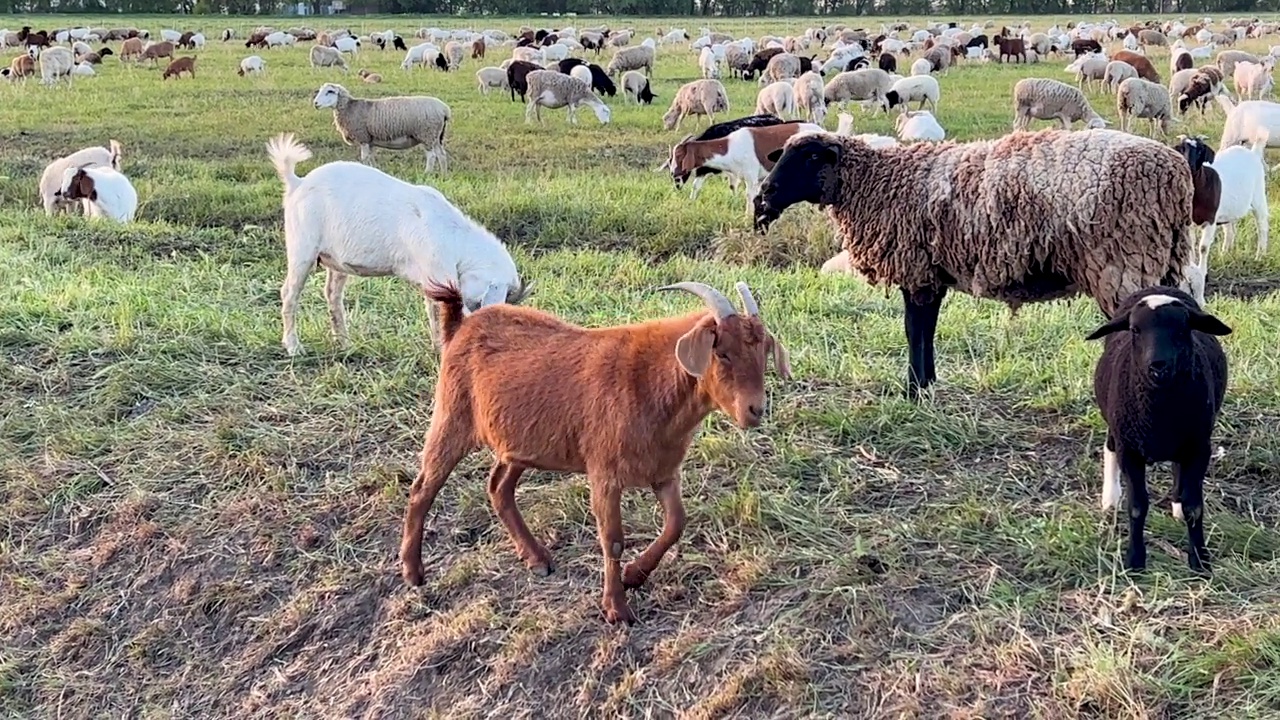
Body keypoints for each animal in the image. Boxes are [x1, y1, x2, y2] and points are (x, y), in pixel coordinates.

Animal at [267, 132, 527, 356]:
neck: (456, 239)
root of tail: (297, 183)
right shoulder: (437, 273)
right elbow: (439, 314)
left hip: (335, 260)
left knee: (332, 293)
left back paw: (344, 343)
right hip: (302, 247)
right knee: (289, 292)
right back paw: (294, 347)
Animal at [312, 82, 453, 170]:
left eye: (330, 91)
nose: (315, 103)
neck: (349, 108)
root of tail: (444, 109)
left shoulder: (363, 138)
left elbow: (364, 159)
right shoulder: (370, 141)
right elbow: (371, 158)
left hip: (426, 133)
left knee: (432, 156)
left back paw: (427, 173)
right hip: (436, 136)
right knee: (441, 155)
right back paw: (443, 175)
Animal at [404, 280, 788, 622]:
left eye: (763, 353)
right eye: (721, 353)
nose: (755, 410)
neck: (650, 382)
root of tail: (461, 326)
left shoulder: (663, 470)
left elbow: (676, 523)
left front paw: (634, 576)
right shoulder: (605, 474)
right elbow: (613, 540)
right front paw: (616, 609)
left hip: (520, 443)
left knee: (499, 486)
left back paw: (537, 558)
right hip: (452, 417)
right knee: (423, 488)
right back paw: (413, 572)